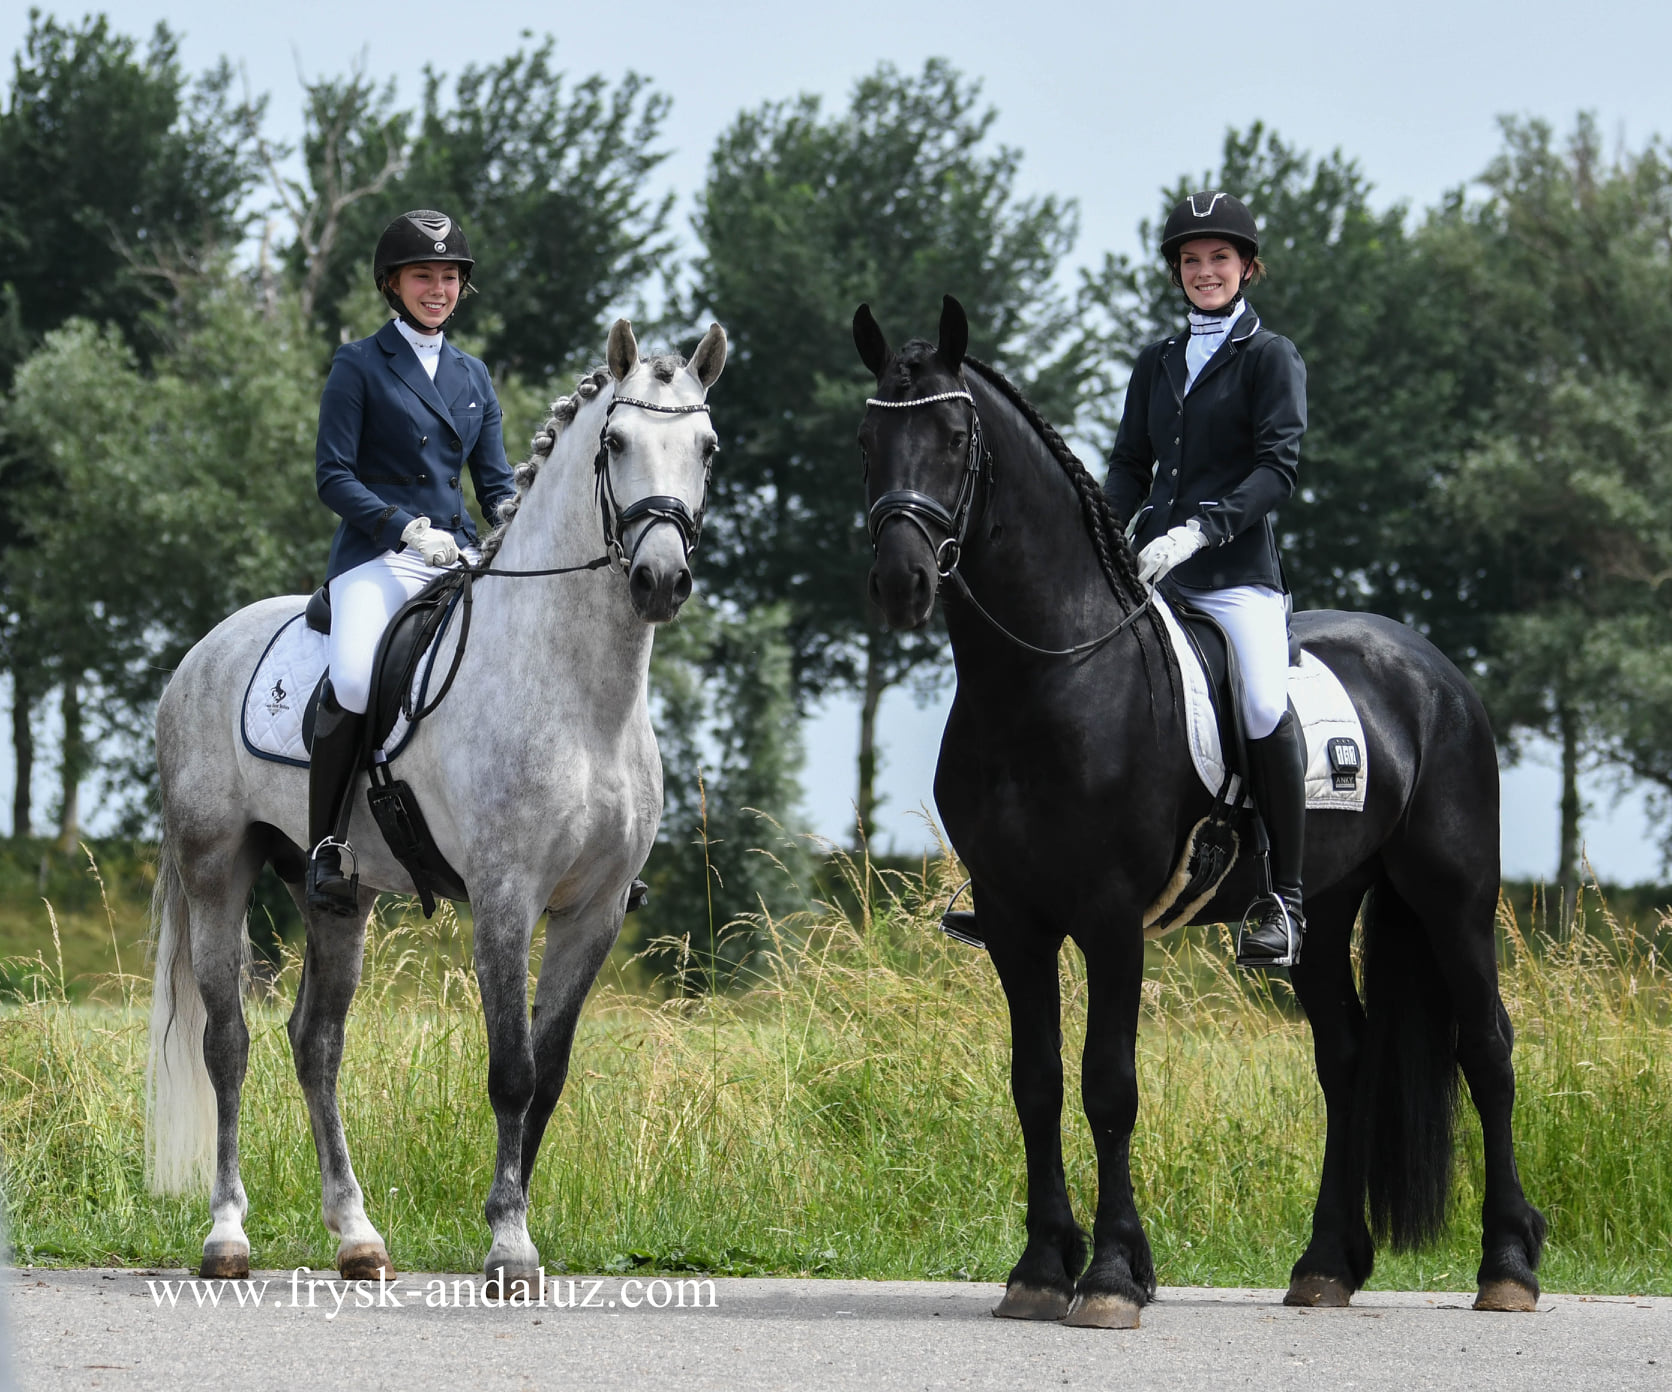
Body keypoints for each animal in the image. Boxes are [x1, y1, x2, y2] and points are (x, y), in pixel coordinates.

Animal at [142, 320, 718, 1290]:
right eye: (614, 443)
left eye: (706, 447)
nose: (660, 580)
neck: (582, 695)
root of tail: (201, 654)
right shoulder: (505, 896)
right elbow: (511, 1069)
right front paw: (509, 1245)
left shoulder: (595, 911)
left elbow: (549, 1070)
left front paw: (517, 1221)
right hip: (217, 871)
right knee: (230, 1042)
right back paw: (227, 1235)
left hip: (335, 894)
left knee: (316, 1043)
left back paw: (356, 1235)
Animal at [856, 300, 1544, 1323]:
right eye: (869, 439)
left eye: (952, 438)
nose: (902, 582)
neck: (1048, 676)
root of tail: (1436, 671)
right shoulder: (1016, 921)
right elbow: (1036, 1083)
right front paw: (1040, 1269)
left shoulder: (1110, 918)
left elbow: (1108, 1085)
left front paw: (1110, 1276)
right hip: (1324, 905)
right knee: (1346, 1056)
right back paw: (1325, 1264)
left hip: (1451, 896)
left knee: (1486, 1049)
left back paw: (1507, 1266)